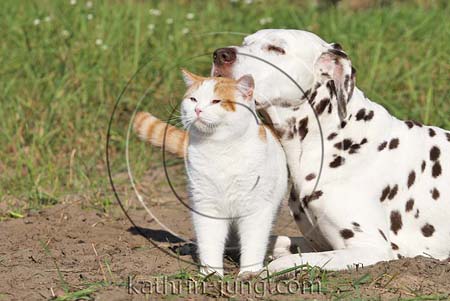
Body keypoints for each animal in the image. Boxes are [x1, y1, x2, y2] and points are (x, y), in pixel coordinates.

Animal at [134, 69, 288, 276]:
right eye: (193, 99)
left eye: (216, 101)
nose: (198, 110)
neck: (219, 149)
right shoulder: (206, 207)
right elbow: (209, 242)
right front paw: (211, 274)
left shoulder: (256, 208)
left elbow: (254, 242)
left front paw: (249, 272)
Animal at [212, 29, 450, 270]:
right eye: (245, 42)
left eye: (276, 48)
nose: (220, 54)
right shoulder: (315, 243)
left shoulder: (370, 248)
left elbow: (288, 261)